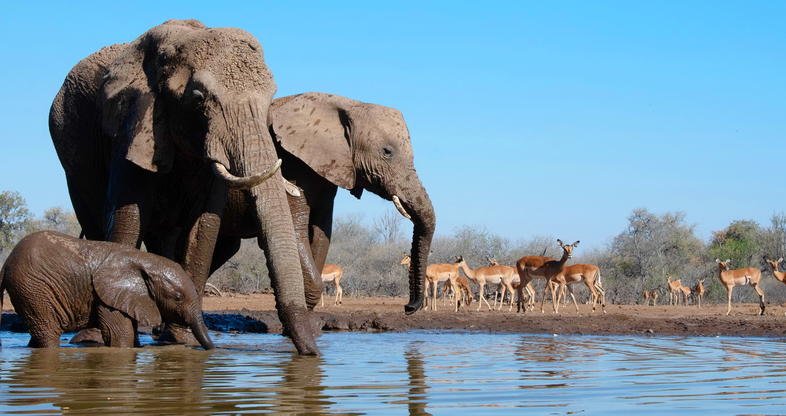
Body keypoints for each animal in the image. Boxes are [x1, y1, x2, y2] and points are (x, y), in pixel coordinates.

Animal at [0, 231, 214, 349]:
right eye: (177, 297)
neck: (145, 259)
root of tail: (5, 264)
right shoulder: (106, 297)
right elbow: (119, 335)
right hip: (33, 290)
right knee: (48, 333)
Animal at [49, 20, 317, 354]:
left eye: (271, 98)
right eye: (199, 98)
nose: (312, 354)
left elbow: (203, 228)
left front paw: (181, 340)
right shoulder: (133, 121)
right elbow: (127, 217)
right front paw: (117, 340)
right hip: (70, 146)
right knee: (93, 217)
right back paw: (90, 337)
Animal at [214, 92, 436, 313]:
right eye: (387, 151)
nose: (408, 307)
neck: (347, 105)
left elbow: (322, 232)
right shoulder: (290, 164)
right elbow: (295, 229)